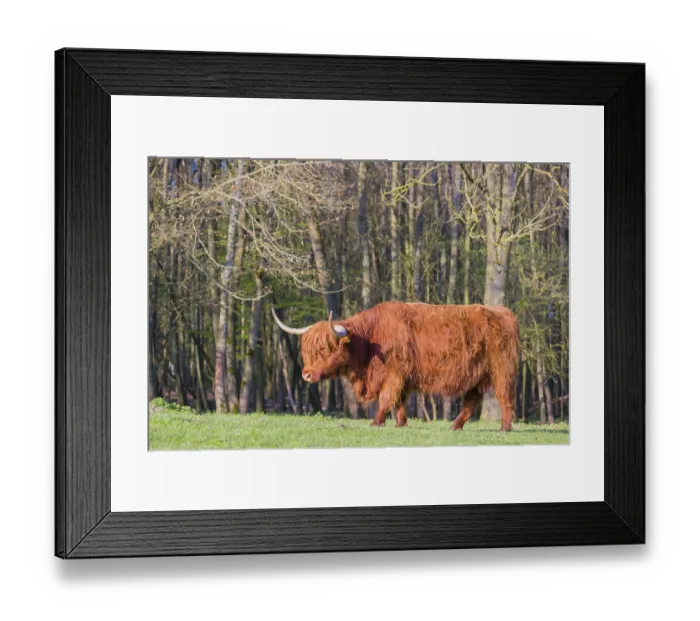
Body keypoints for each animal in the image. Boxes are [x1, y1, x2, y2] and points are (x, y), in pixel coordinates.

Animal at [271, 301, 519, 432]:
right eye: (307, 351)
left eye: (325, 349)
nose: (306, 374)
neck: (371, 337)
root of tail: (503, 312)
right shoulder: (403, 378)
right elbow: (399, 401)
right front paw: (401, 424)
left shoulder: (395, 373)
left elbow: (386, 398)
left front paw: (376, 422)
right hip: (477, 376)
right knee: (471, 400)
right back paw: (455, 426)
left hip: (501, 369)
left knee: (505, 397)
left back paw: (505, 428)